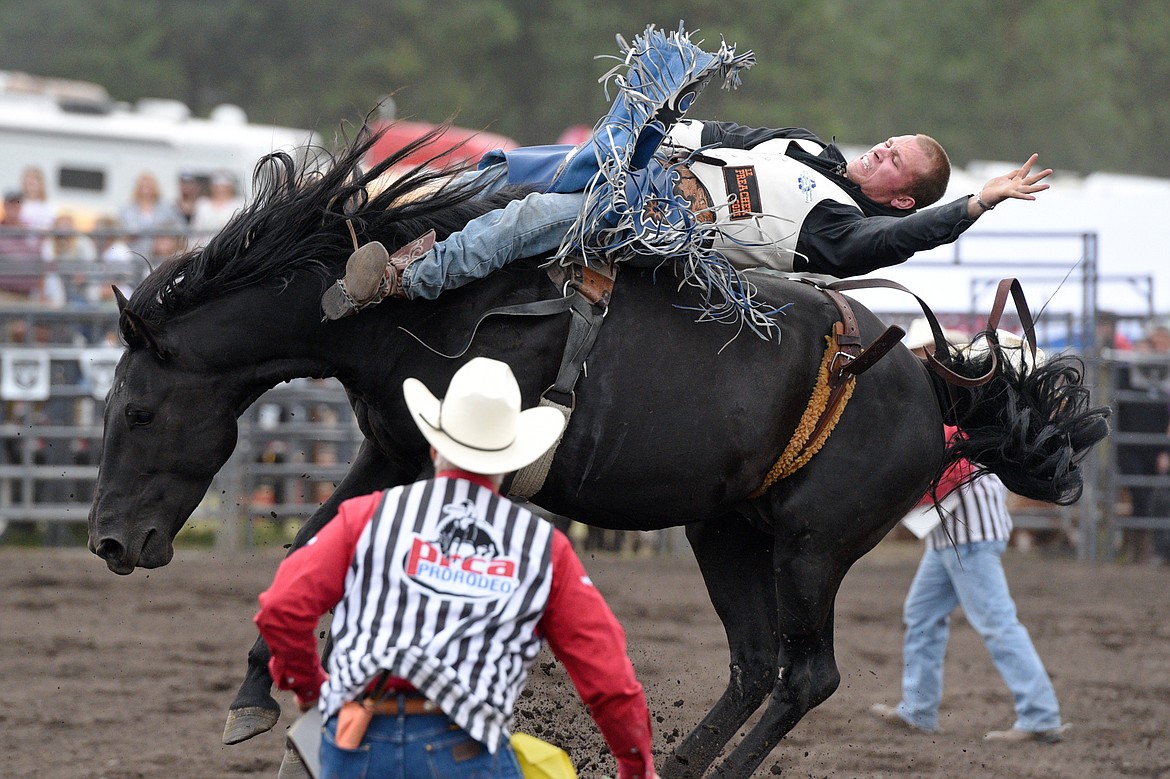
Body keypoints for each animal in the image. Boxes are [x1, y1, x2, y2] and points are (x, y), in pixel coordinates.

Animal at [86, 128, 1109, 776]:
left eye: (136, 410)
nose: (109, 542)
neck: (426, 315)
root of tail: (937, 385)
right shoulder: (394, 444)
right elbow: (305, 550)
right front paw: (254, 695)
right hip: (726, 530)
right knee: (753, 664)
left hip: (814, 543)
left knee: (805, 673)